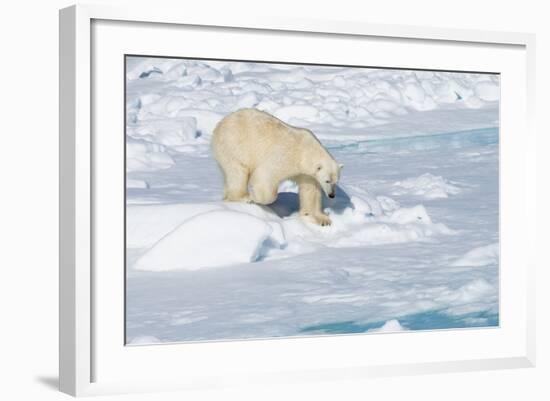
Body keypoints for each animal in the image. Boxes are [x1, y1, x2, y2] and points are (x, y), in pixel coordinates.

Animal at [212, 108, 344, 225]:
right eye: (327, 181)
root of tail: (220, 124)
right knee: (238, 172)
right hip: (234, 145)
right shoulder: (284, 157)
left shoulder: (307, 174)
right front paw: (255, 198)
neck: (305, 151)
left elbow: (310, 191)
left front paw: (321, 218)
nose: (332, 195)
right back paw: (243, 197)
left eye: (336, 181)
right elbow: (265, 178)